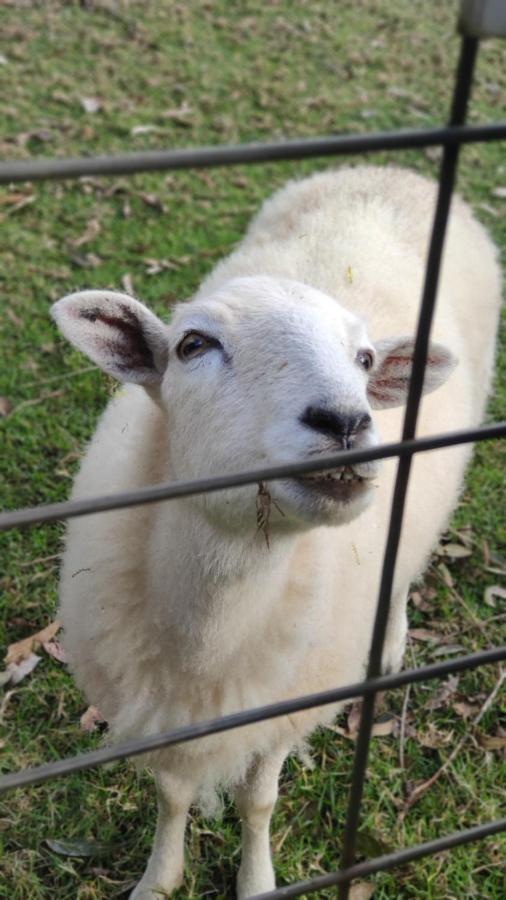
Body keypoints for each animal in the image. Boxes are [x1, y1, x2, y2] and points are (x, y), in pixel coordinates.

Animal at [49, 165, 500, 896]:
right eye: (193, 345)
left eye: (365, 359)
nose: (347, 421)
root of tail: (393, 170)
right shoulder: (167, 712)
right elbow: (172, 796)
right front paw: (160, 877)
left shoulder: (285, 703)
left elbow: (258, 800)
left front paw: (257, 879)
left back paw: (390, 640)